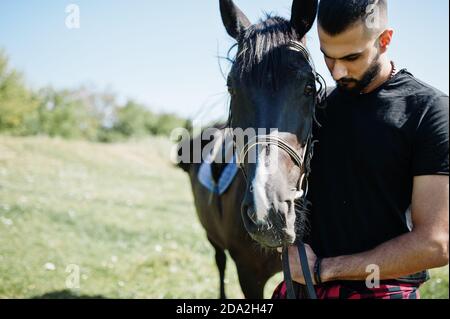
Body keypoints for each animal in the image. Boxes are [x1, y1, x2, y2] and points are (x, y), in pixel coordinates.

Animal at [177, 0, 324, 300]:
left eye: (309, 87)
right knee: (219, 261)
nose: (269, 211)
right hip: (212, 236)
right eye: (231, 87)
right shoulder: (248, 276)